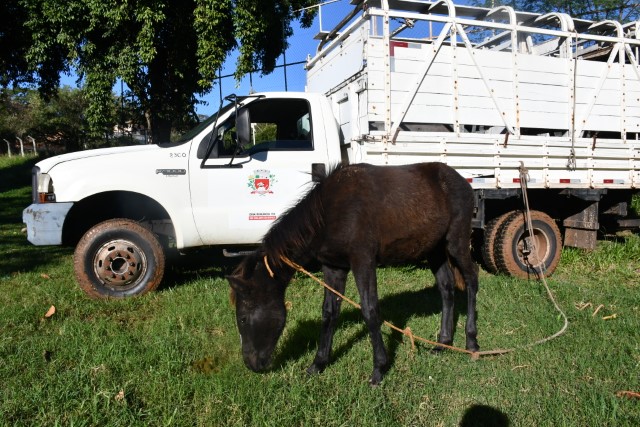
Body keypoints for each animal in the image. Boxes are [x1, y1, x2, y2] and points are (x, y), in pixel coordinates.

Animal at [227, 162, 479, 385]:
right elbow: (329, 312)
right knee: (446, 289)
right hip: (435, 250)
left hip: (456, 242)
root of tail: (463, 182)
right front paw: (318, 363)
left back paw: (471, 342)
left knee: (471, 281)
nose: (251, 364)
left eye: (243, 318)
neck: (327, 214)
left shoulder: (363, 261)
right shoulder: (333, 267)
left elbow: (370, 310)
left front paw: (379, 368)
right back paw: (443, 342)